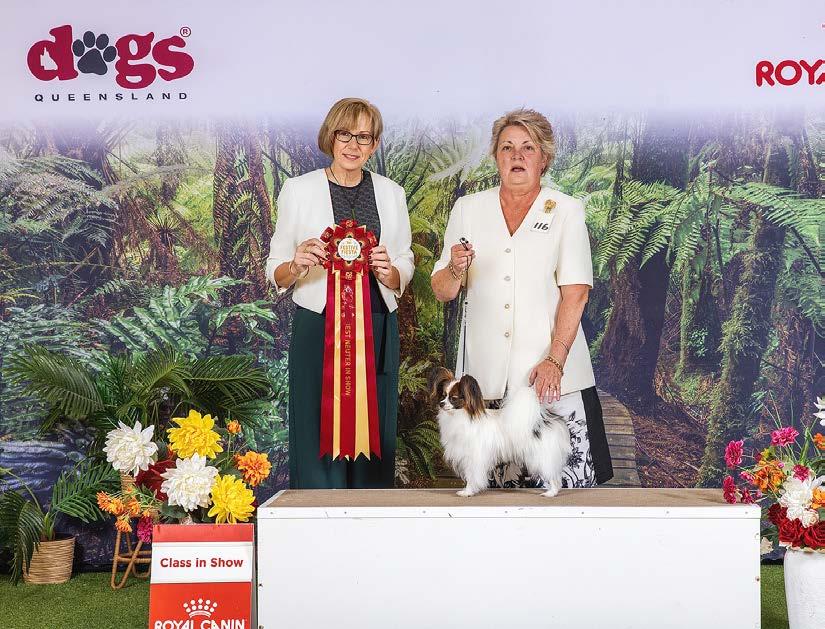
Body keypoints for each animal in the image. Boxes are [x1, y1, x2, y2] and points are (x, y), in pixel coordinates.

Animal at [430, 367, 572, 498]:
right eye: (443, 396)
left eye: (453, 398)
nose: (441, 403)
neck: (461, 416)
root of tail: (544, 419)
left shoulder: (474, 457)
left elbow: (472, 476)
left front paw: (468, 491)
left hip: (541, 455)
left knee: (552, 474)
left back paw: (551, 493)